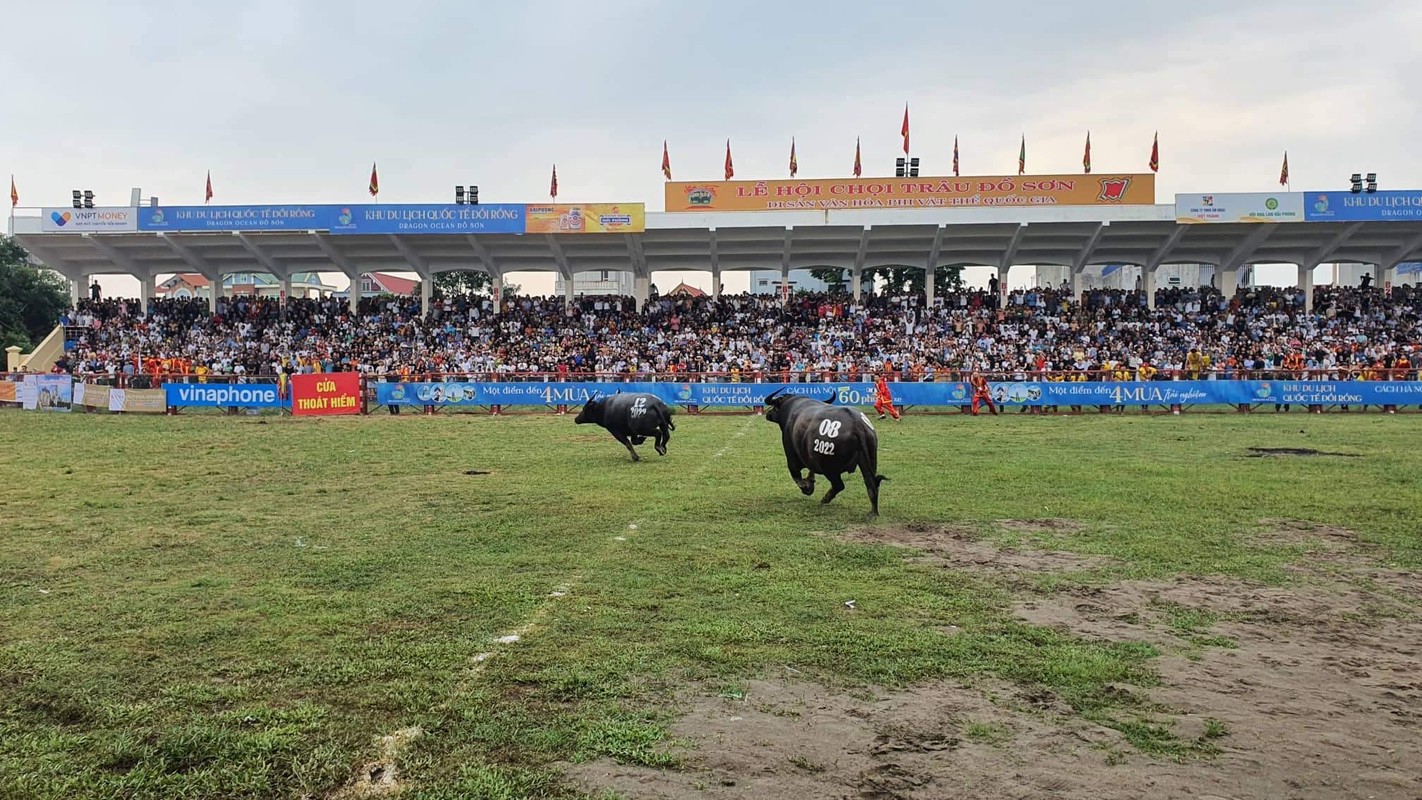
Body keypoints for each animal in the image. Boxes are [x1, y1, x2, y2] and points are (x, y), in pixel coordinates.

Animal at [762, 389, 881, 517]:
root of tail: (857, 424)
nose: (767, 414)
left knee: (839, 485)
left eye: (775, 406)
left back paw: (825, 498)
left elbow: (797, 477)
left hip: (829, 468)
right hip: (868, 461)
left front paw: (807, 487)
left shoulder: (792, 458)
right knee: (871, 485)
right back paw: (873, 512)